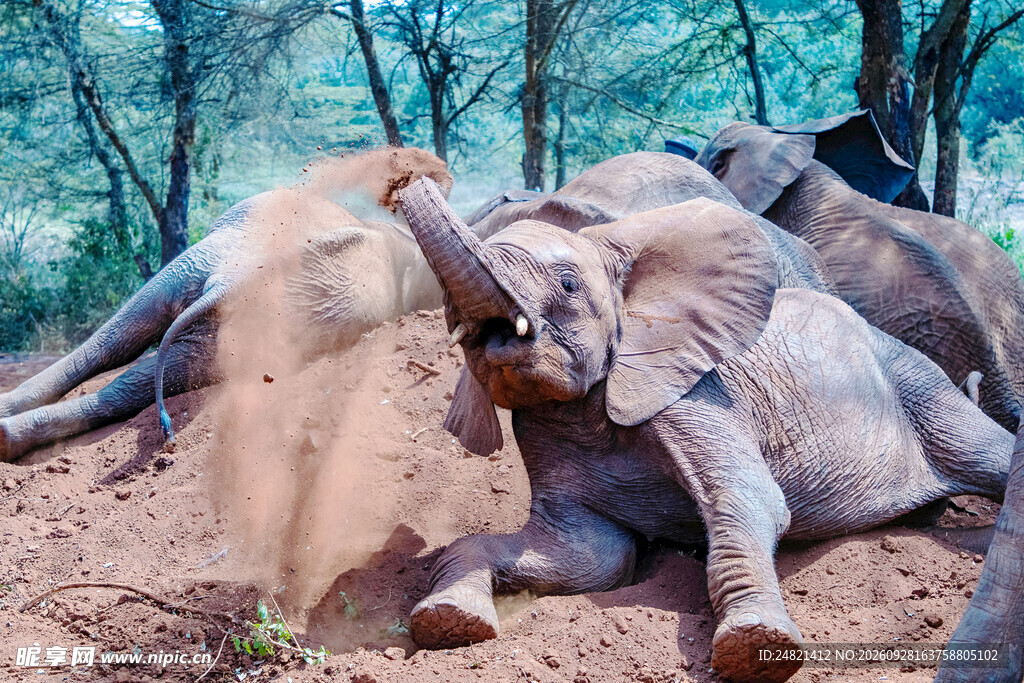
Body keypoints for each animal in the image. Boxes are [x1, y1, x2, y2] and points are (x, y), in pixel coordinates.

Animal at [396, 177, 1014, 683]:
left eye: (569, 285)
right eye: (448, 308)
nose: (406, 177)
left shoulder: (696, 394)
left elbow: (746, 498)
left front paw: (754, 648)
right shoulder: (546, 432)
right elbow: (590, 554)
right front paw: (447, 621)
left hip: (919, 384)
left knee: (988, 455)